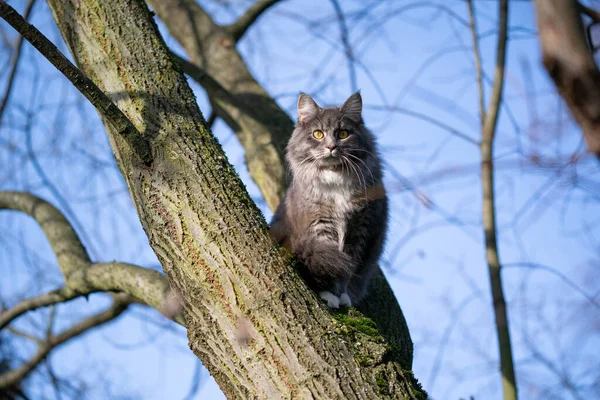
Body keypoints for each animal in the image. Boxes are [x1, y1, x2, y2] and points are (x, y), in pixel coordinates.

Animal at [268, 92, 390, 308]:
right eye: (318, 134)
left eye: (343, 134)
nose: (331, 146)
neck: (335, 179)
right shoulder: (320, 222)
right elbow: (333, 261)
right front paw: (329, 294)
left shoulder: (360, 227)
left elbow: (349, 266)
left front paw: (342, 295)